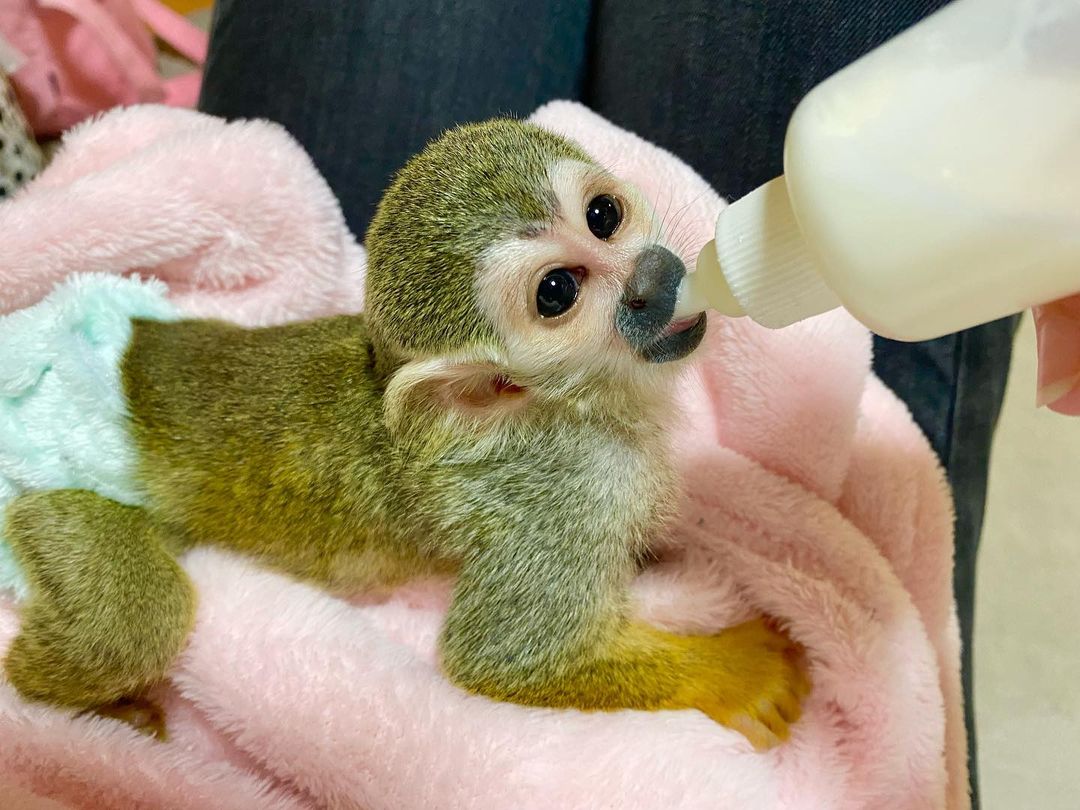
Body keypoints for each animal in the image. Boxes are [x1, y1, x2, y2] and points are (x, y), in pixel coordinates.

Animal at [0, 118, 809, 750]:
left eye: (604, 215)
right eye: (558, 293)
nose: (653, 280)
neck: (569, 406)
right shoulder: (556, 498)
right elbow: (504, 658)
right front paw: (736, 673)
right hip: (48, 496)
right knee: (126, 627)